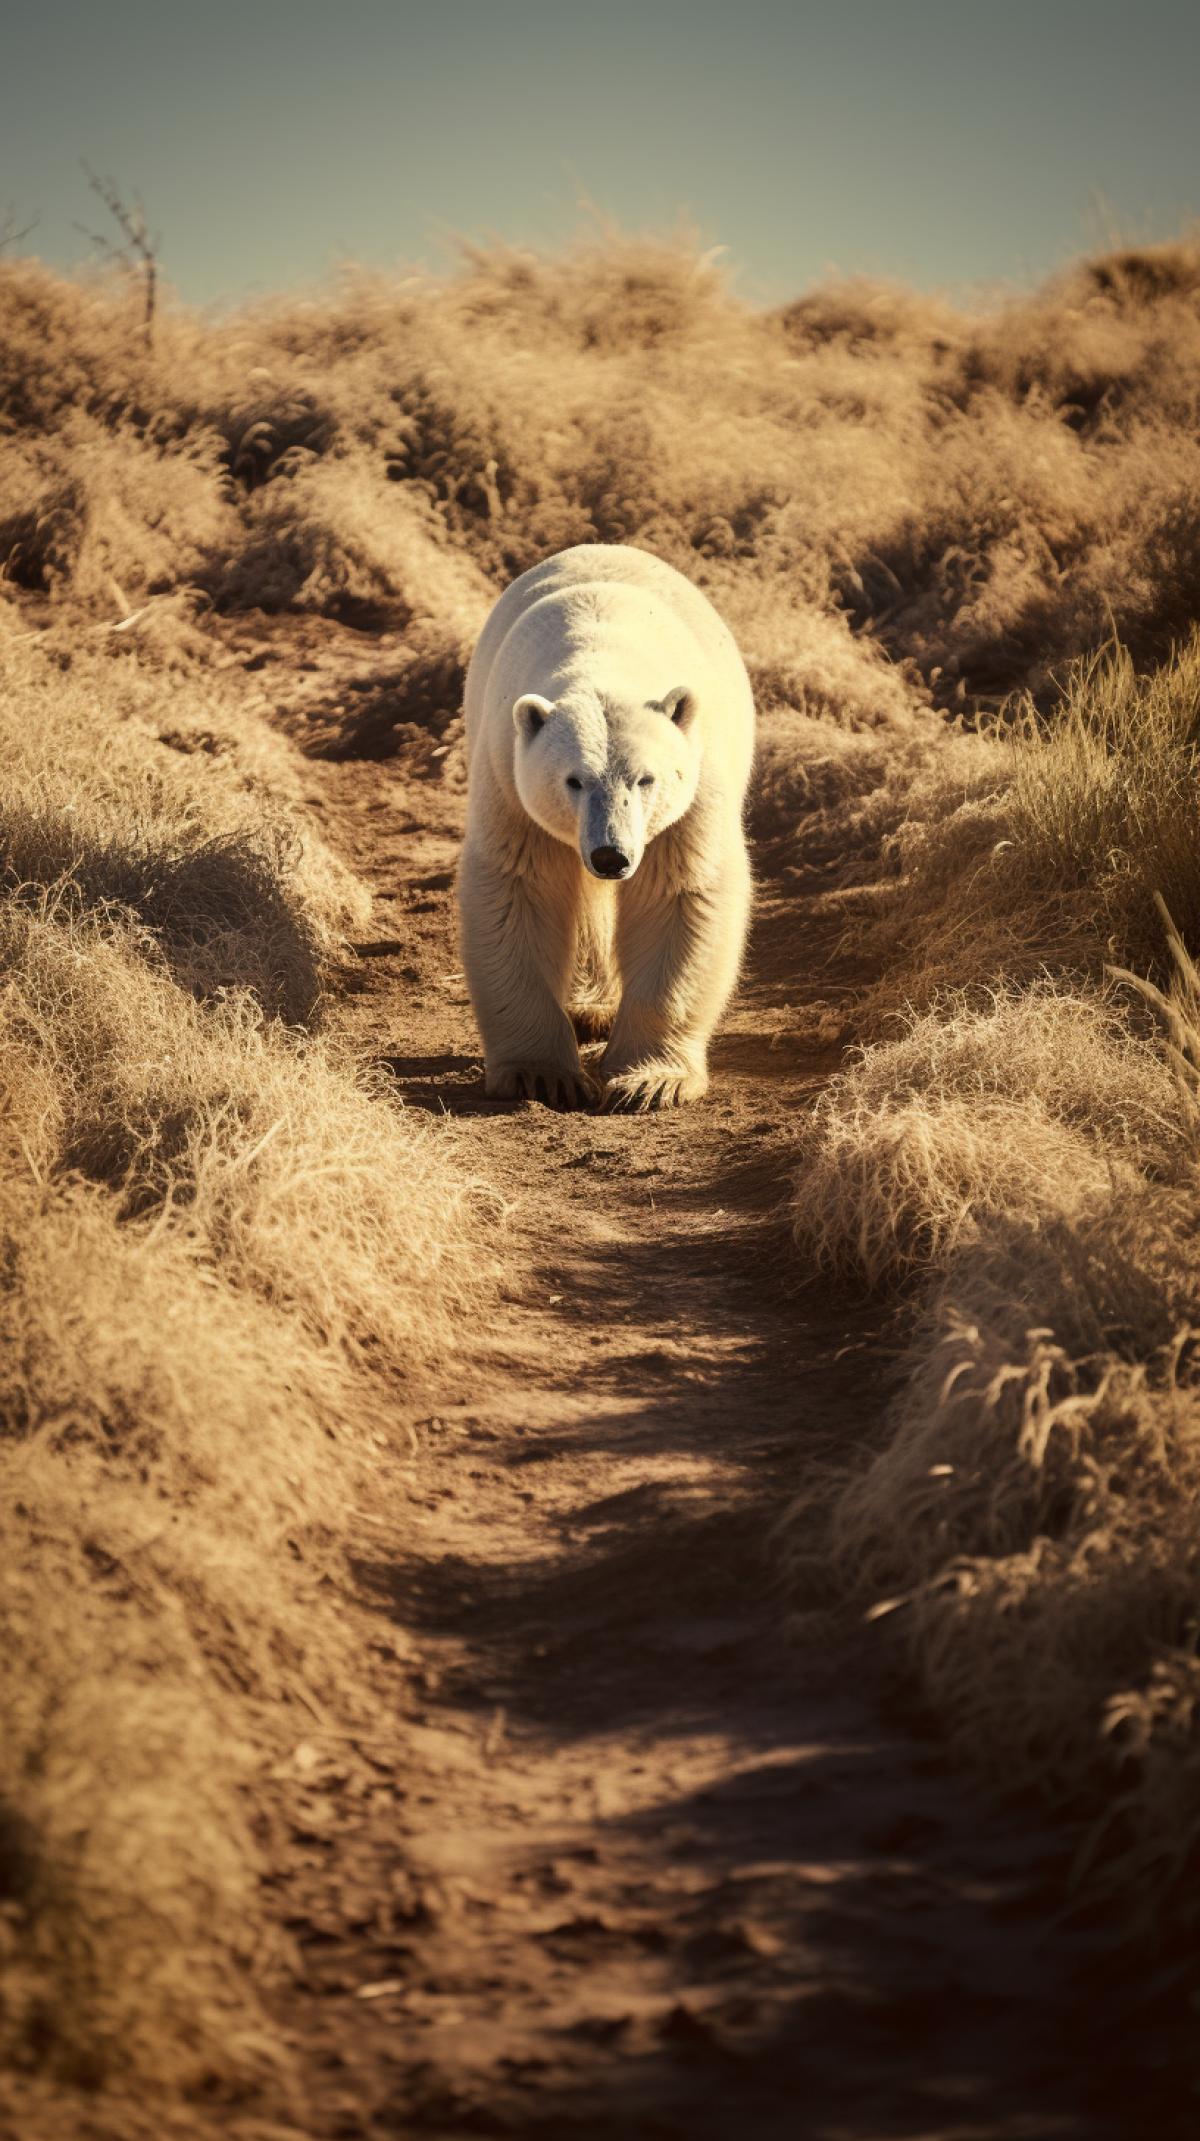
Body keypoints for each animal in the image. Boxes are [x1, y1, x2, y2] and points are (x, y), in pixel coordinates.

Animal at [457, 544, 755, 1113]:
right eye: (573, 780)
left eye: (646, 778)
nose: (610, 856)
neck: (604, 654)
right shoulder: (510, 781)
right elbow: (521, 889)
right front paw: (540, 1076)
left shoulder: (694, 788)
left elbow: (677, 892)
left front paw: (650, 1080)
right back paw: (590, 1008)